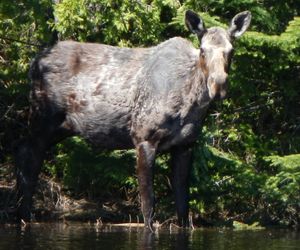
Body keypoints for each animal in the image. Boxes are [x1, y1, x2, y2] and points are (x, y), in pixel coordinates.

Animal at [15, 9, 252, 229]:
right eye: (202, 50)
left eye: (231, 51)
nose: (218, 85)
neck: (190, 105)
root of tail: (33, 63)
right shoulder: (143, 138)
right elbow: (148, 207)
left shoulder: (185, 144)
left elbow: (183, 206)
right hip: (41, 119)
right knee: (28, 161)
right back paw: (22, 214)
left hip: (58, 128)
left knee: (24, 156)